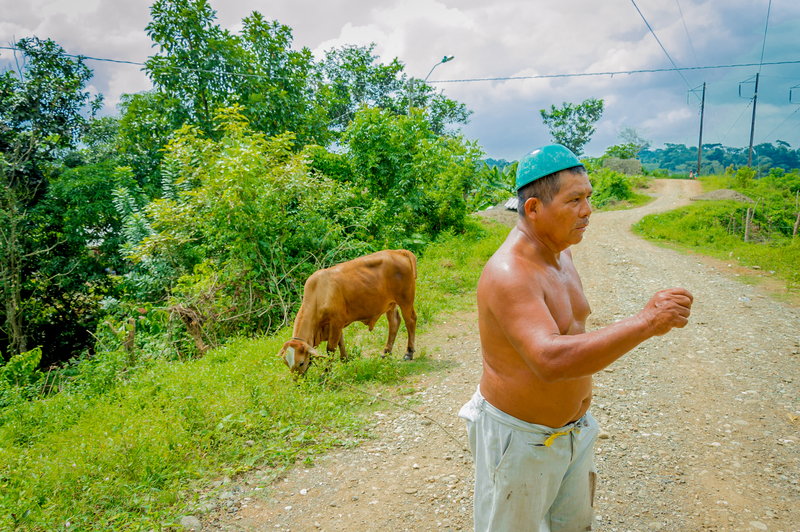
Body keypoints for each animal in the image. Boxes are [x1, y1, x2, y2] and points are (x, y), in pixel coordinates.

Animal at [278, 249, 418, 374]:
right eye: (286, 363)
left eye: (301, 363)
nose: (297, 381)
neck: (319, 294)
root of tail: (397, 252)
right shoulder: (336, 324)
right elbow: (341, 343)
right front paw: (345, 360)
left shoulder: (336, 322)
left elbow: (331, 348)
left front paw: (326, 373)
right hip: (390, 304)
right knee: (394, 322)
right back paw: (386, 352)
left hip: (405, 300)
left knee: (410, 320)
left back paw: (409, 352)